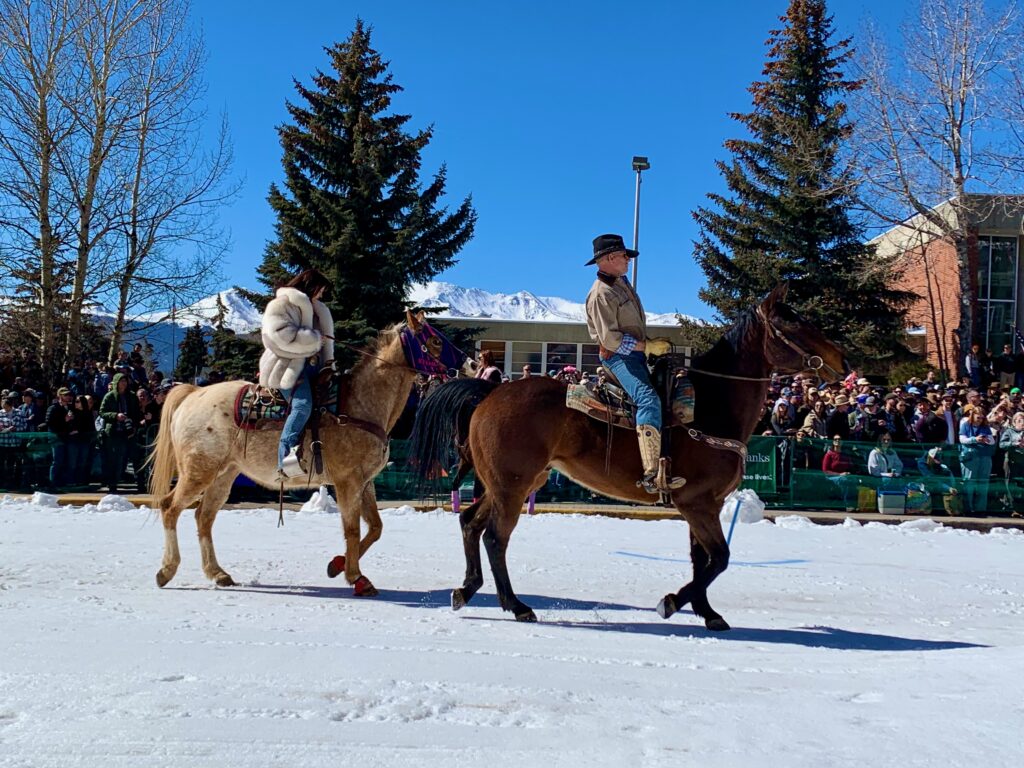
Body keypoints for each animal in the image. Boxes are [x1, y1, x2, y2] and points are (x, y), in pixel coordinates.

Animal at [148, 311, 475, 593]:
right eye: (435, 340)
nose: (471, 363)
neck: (359, 405)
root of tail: (193, 394)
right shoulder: (347, 482)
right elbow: (352, 529)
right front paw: (357, 578)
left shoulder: (365, 483)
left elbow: (375, 528)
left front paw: (337, 565)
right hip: (198, 472)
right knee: (170, 508)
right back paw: (167, 570)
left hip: (224, 475)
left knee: (203, 517)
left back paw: (218, 573)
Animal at [407, 286, 847, 626]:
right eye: (792, 324)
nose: (841, 360)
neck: (712, 404)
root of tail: (489, 393)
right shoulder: (698, 503)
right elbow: (719, 558)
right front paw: (670, 602)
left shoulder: (701, 505)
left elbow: (701, 559)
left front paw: (707, 613)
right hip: (512, 487)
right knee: (495, 538)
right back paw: (516, 606)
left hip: (506, 484)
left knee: (469, 523)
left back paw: (466, 590)